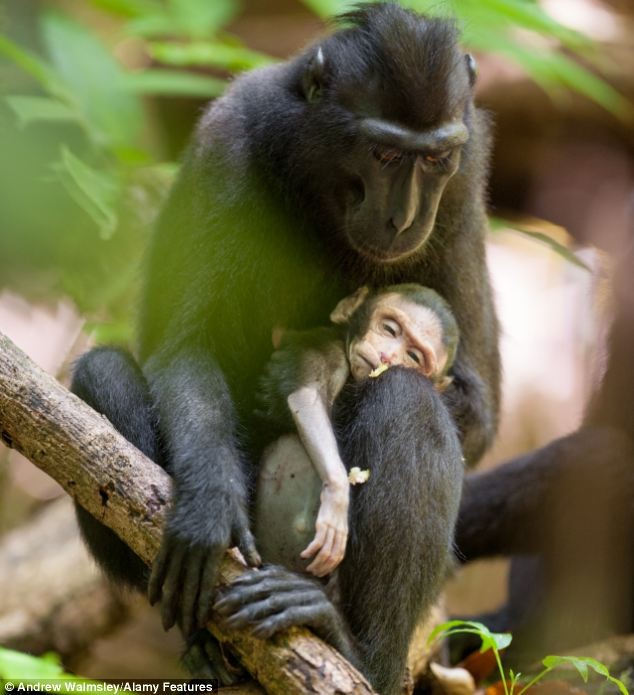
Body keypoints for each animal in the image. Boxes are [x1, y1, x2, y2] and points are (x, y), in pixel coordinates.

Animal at [254, 286, 456, 580]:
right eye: (390, 329)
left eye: (414, 356)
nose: (387, 356)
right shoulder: (331, 350)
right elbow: (307, 396)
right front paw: (337, 496)